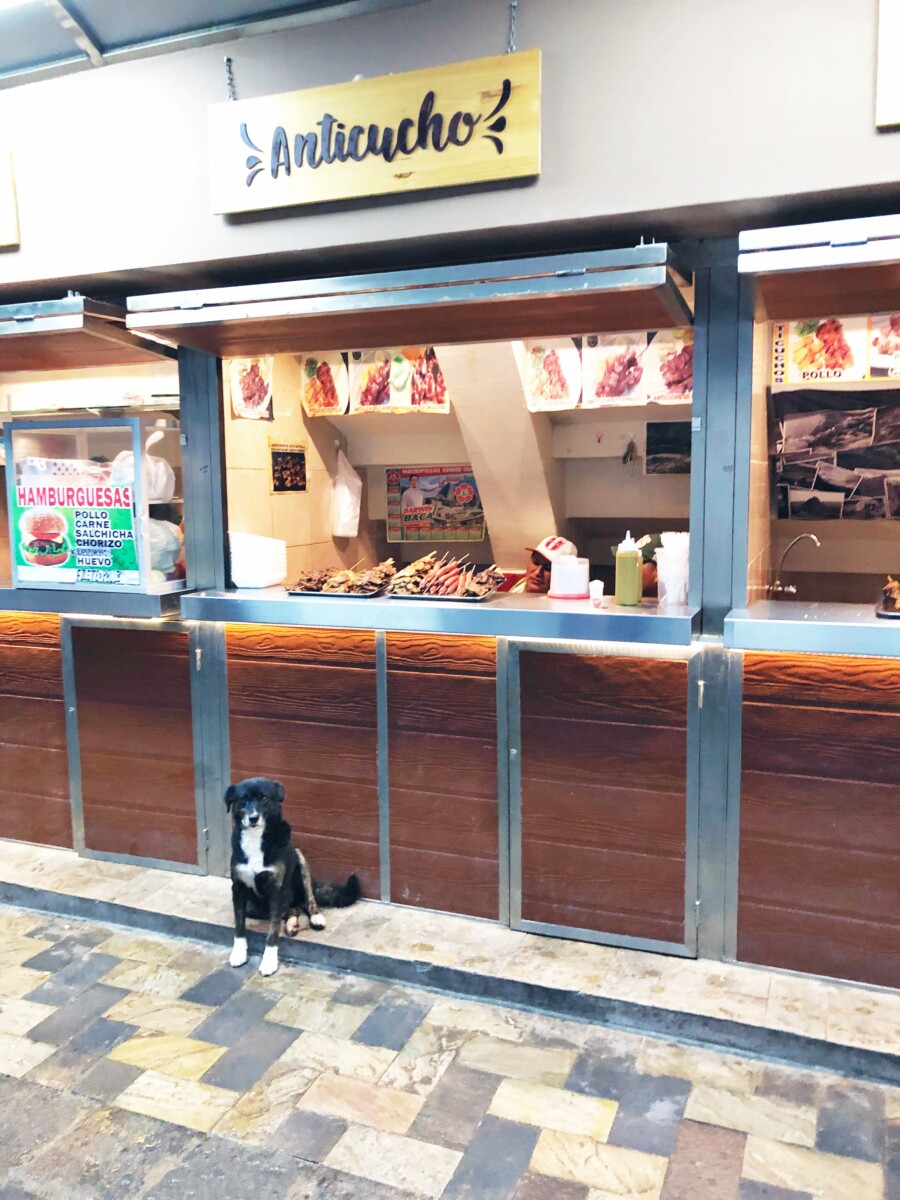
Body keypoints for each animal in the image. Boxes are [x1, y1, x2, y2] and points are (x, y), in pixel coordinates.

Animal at [225, 777, 362, 974]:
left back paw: (315, 917)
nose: (253, 818)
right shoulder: (238, 889)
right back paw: (292, 925)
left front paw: (269, 961)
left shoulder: (276, 888)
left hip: (301, 862)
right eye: (243, 799)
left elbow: (273, 930)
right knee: (292, 909)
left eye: (263, 798)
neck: (255, 838)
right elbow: (239, 924)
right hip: (256, 906)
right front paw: (238, 953)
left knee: (307, 900)